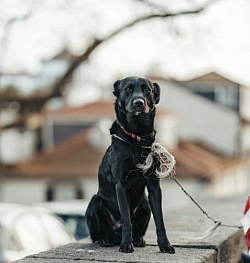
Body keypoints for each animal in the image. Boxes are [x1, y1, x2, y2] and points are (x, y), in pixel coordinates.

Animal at [87, 76, 175, 254]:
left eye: (147, 89)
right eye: (127, 89)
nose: (138, 102)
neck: (137, 139)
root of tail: (115, 234)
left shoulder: (154, 185)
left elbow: (160, 220)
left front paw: (165, 244)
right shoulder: (121, 184)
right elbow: (127, 219)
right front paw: (126, 245)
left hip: (145, 204)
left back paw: (137, 239)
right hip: (95, 201)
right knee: (98, 234)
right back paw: (106, 240)